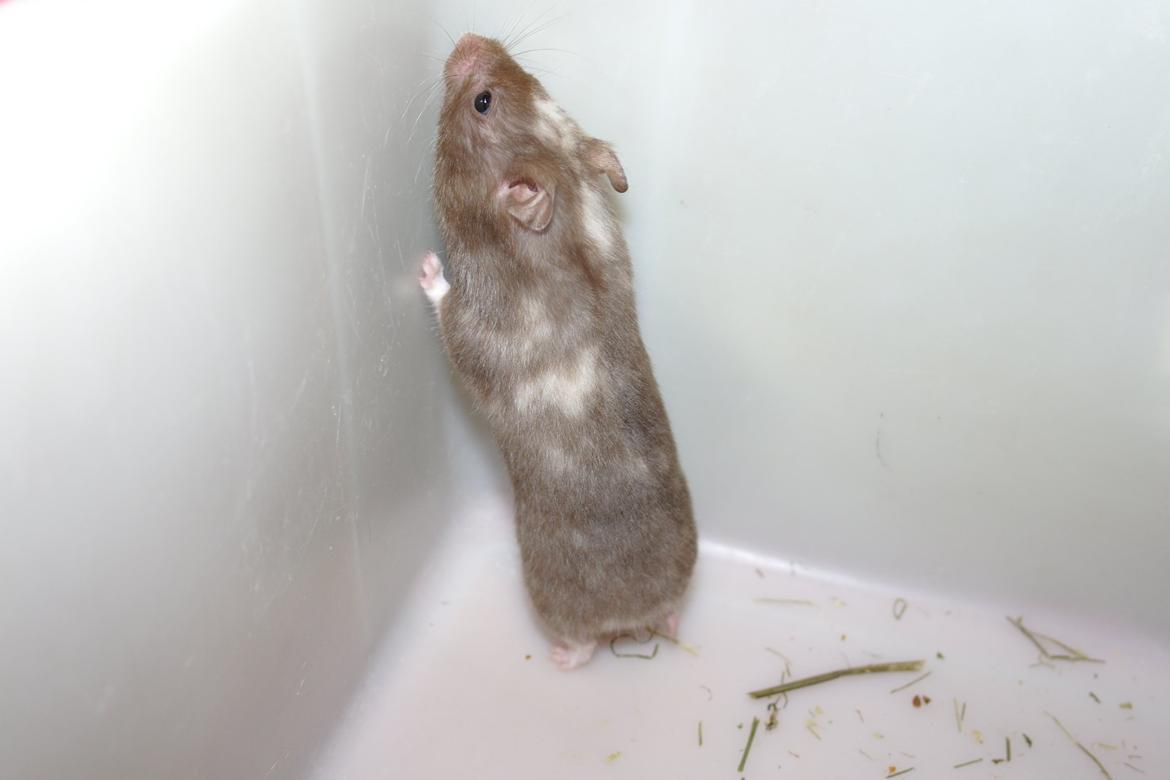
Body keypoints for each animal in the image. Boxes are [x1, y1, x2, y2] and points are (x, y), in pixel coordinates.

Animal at [419, 34, 697, 670]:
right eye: (537, 83)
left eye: (482, 102)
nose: (468, 39)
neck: (569, 208)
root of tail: (634, 614)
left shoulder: (479, 325)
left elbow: (450, 318)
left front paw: (426, 269)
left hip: (550, 596)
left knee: (587, 645)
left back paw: (564, 656)